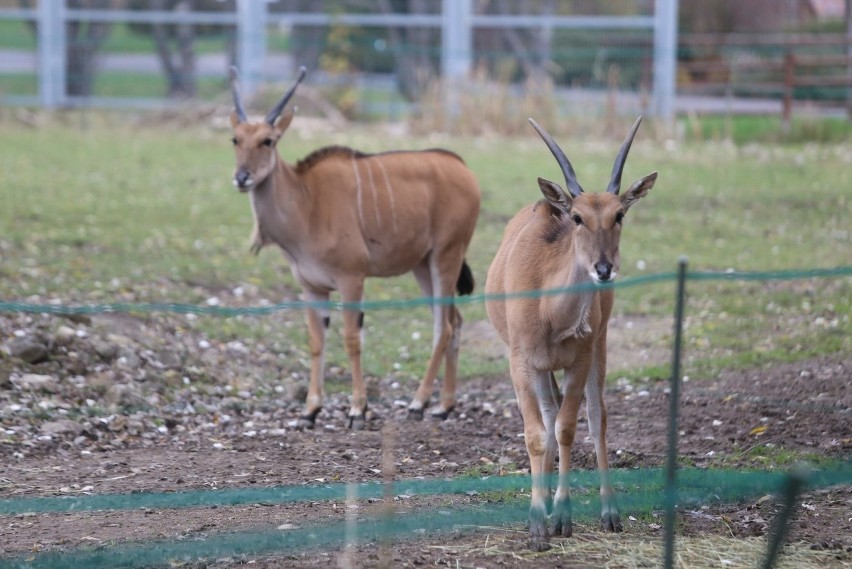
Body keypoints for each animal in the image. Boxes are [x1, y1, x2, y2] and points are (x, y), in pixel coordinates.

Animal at [226, 66, 480, 428]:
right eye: (235, 139)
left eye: (268, 140)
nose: (242, 177)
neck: (307, 202)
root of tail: (462, 167)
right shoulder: (312, 287)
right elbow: (316, 340)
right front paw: (310, 410)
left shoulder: (351, 279)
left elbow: (351, 339)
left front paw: (357, 409)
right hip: (423, 265)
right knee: (453, 321)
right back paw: (444, 405)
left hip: (447, 255)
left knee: (442, 327)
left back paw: (418, 403)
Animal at [486, 117, 660, 548]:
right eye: (578, 217)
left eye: (619, 214)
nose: (603, 268)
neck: (550, 314)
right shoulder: (521, 361)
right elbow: (537, 432)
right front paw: (537, 524)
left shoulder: (580, 358)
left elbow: (568, 427)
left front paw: (562, 517)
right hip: (543, 368)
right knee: (549, 416)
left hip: (600, 345)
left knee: (595, 416)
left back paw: (607, 512)